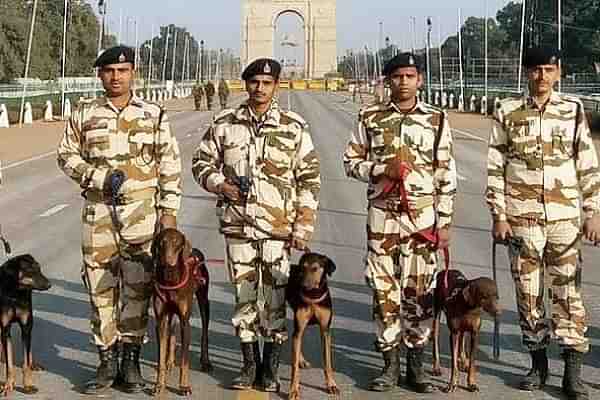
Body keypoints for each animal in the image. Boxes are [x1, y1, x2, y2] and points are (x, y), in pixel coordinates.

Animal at [0, 255, 51, 396]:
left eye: (39, 268)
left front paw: (28, 385)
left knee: (28, 352)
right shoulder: (5, 328)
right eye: (29, 270)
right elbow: (9, 363)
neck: (15, 294)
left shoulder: (26, 327)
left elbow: (26, 362)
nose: (49, 284)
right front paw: (8, 385)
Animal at [151, 228, 212, 396]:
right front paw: (159, 385)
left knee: (204, 332)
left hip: (204, 301)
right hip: (171, 313)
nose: (168, 260)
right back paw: (170, 361)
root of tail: (195, 251)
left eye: (177, 242)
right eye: (162, 242)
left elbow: (185, 360)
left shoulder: (186, 322)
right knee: (171, 331)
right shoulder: (160, 320)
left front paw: (184, 386)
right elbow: (160, 354)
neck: (170, 278)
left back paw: (205, 361)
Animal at [284, 253, 338, 400]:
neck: (313, 295)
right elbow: (294, 368)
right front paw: (293, 390)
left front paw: (331, 385)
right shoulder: (300, 326)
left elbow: (327, 362)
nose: (303, 285)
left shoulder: (325, 331)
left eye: (315, 268)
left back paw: (301, 360)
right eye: (303, 267)